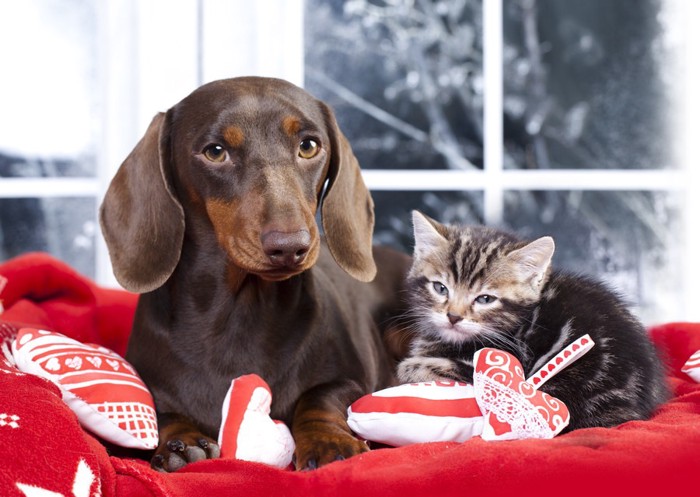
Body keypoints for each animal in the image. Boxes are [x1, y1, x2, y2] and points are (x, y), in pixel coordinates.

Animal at [98, 76, 410, 468]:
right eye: (215, 151)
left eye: (309, 146)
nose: (290, 246)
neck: (239, 311)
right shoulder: (151, 385)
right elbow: (161, 411)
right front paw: (181, 442)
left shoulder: (354, 381)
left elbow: (320, 396)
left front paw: (327, 439)